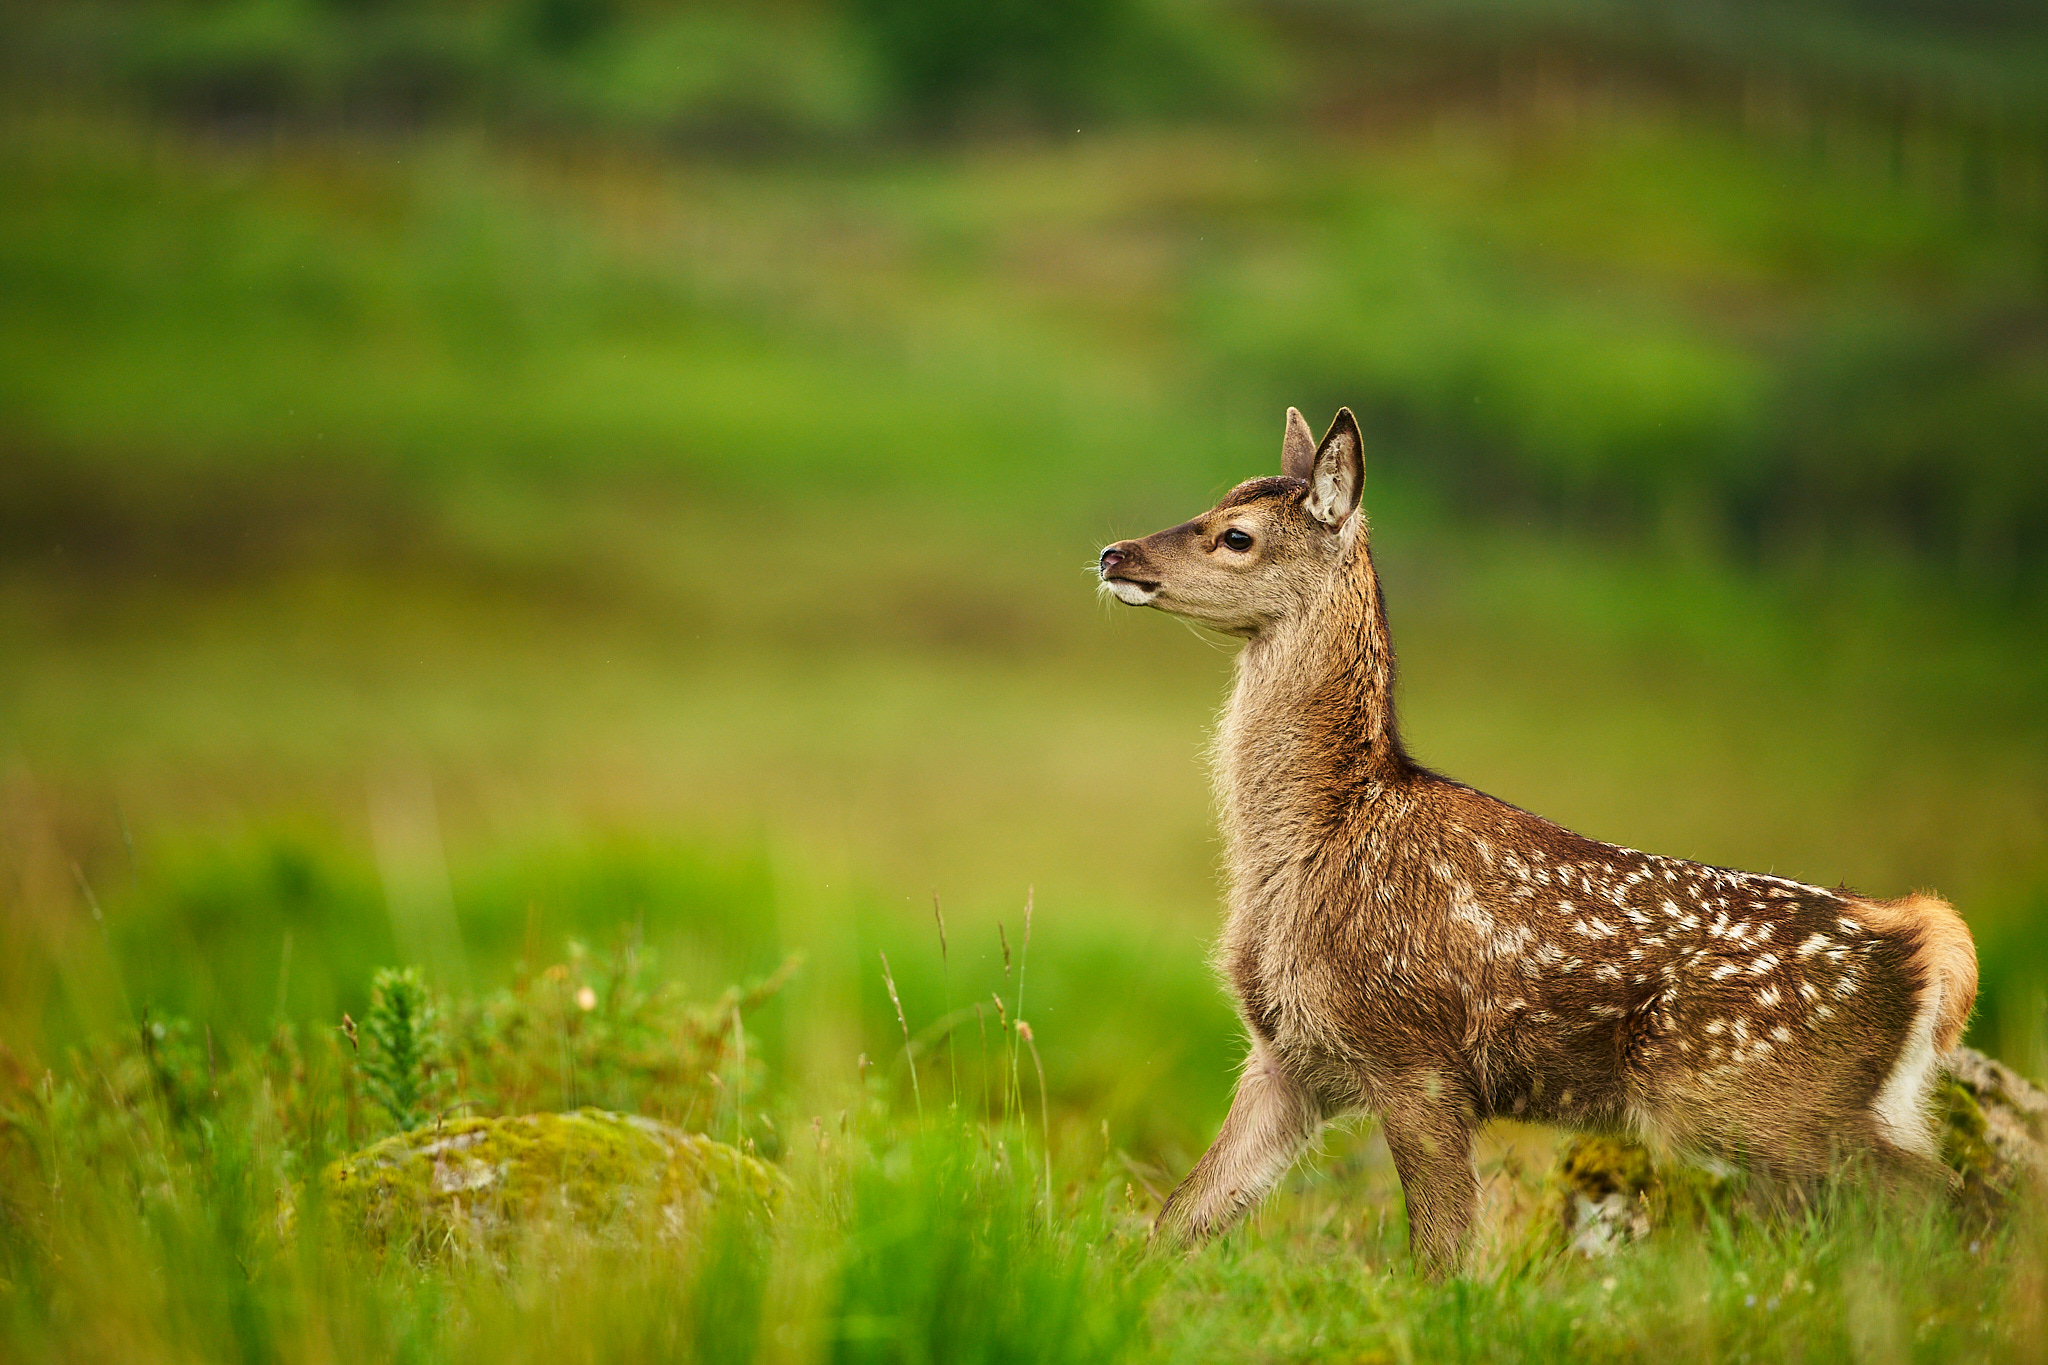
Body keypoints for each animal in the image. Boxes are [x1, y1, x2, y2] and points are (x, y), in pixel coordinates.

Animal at [1097, 406, 1978, 1275]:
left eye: (1236, 534)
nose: (1115, 552)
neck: (1318, 838)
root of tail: (1924, 934)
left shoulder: (1414, 1052)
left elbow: (1442, 1249)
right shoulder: (1290, 1055)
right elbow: (1183, 1216)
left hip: (1754, 1090)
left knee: (1951, 1196)